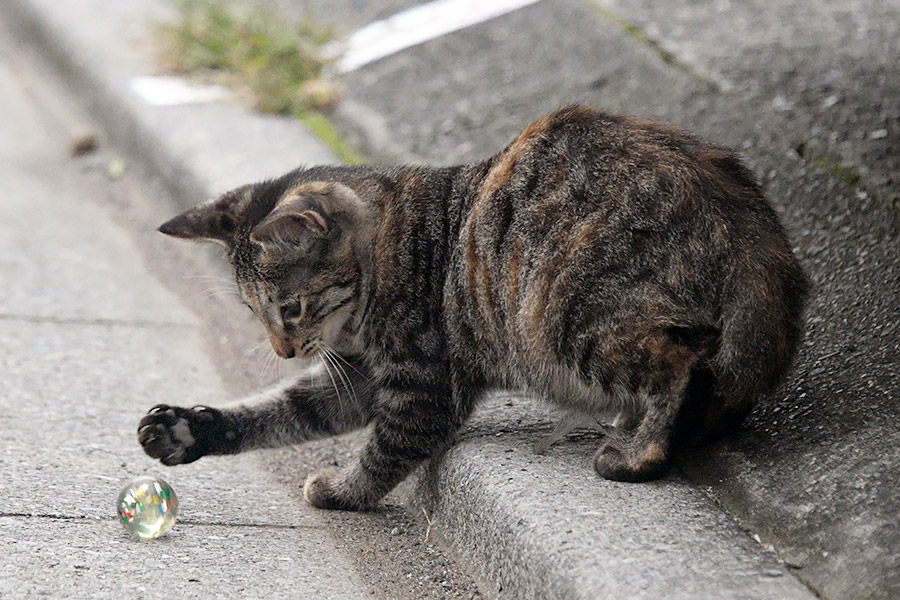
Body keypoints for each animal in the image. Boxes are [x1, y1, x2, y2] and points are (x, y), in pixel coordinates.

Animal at [139, 105, 808, 508]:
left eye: (291, 308)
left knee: (679, 363)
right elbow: (284, 413)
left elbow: (386, 449)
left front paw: (343, 490)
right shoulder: (359, 379)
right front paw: (189, 427)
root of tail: (750, 223)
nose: (282, 349)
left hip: (567, 314)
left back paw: (637, 450)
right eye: (254, 313)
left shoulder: (421, 383)